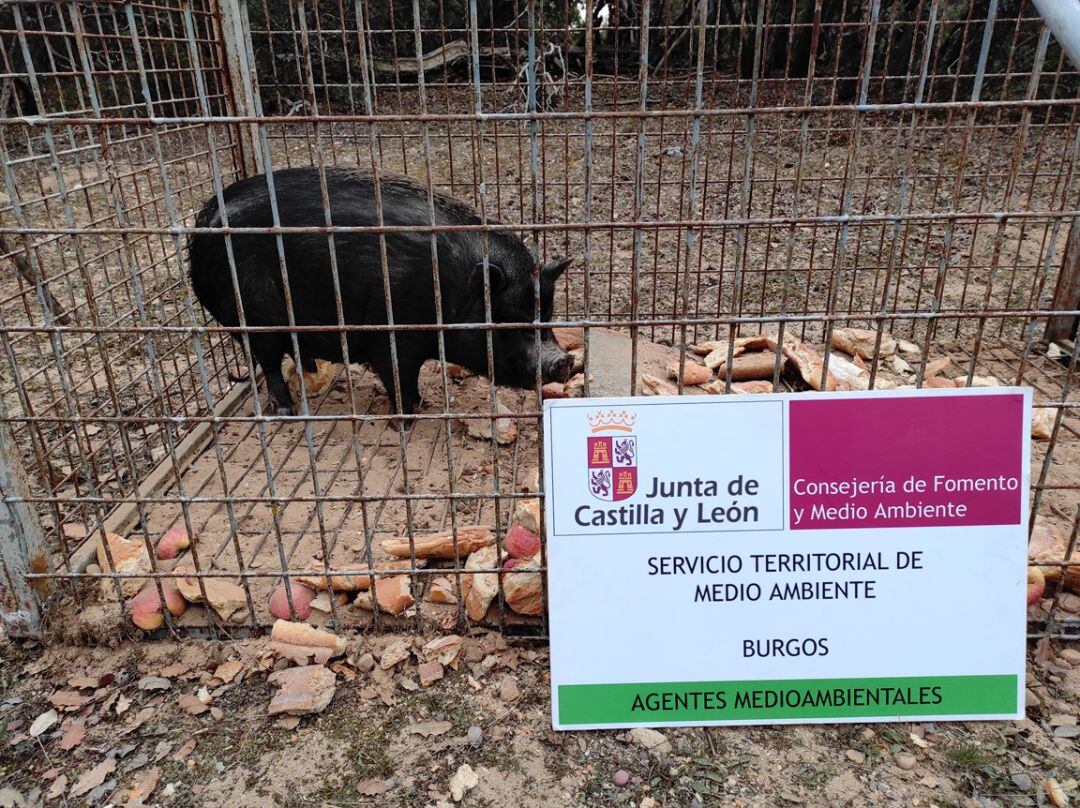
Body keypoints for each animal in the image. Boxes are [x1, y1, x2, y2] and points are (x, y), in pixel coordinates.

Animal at [187, 166, 574, 412]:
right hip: (251, 315)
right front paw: (412, 411)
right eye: (507, 319)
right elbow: (398, 377)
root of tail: (201, 223)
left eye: (548, 314)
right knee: (268, 362)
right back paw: (286, 411)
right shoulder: (390, 335)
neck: (448, 289)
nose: (564, 360)